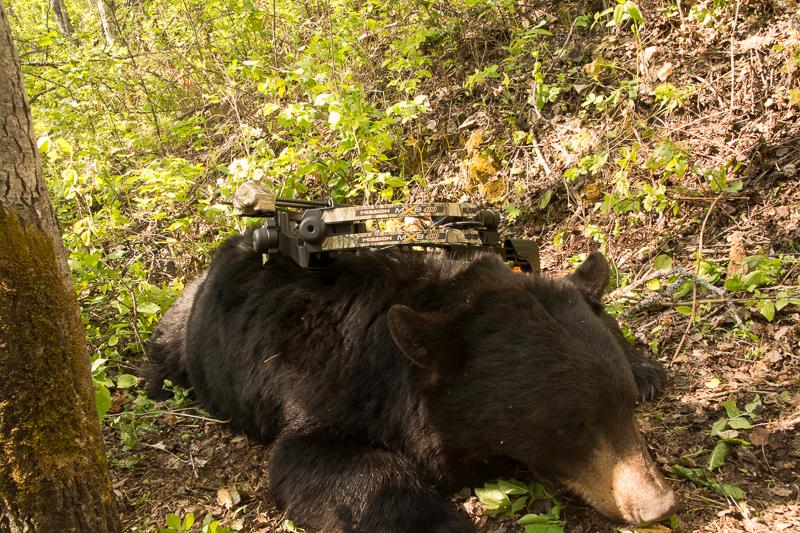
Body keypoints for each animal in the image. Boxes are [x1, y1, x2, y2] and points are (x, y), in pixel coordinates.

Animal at [147, 234, 680, 532]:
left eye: (626, 406)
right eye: (571, 425)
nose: (657, 506)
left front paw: (645, 369)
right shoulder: (327, 388)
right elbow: (313, 462)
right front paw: (447, 524)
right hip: (183, 332)